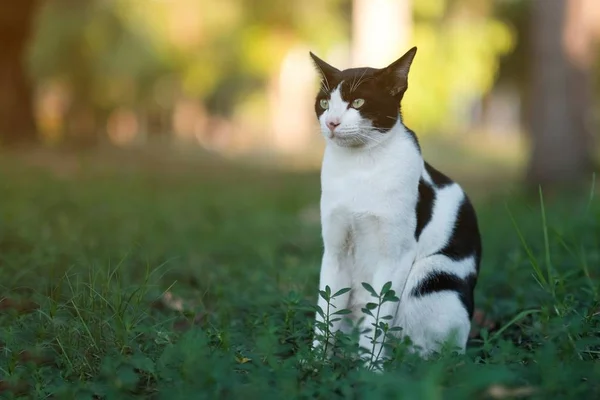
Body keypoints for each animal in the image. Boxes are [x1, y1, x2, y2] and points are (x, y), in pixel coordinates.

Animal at [310, 45, 482, 368]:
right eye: (325, 103)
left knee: (432, 354)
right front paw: (314, 364)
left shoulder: (396, 255)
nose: (331, 122)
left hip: (433, 276)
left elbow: (378, 316)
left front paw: (370, 372)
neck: (360, 167)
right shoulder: (334, 251)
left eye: (358, 102)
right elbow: (325, 313)